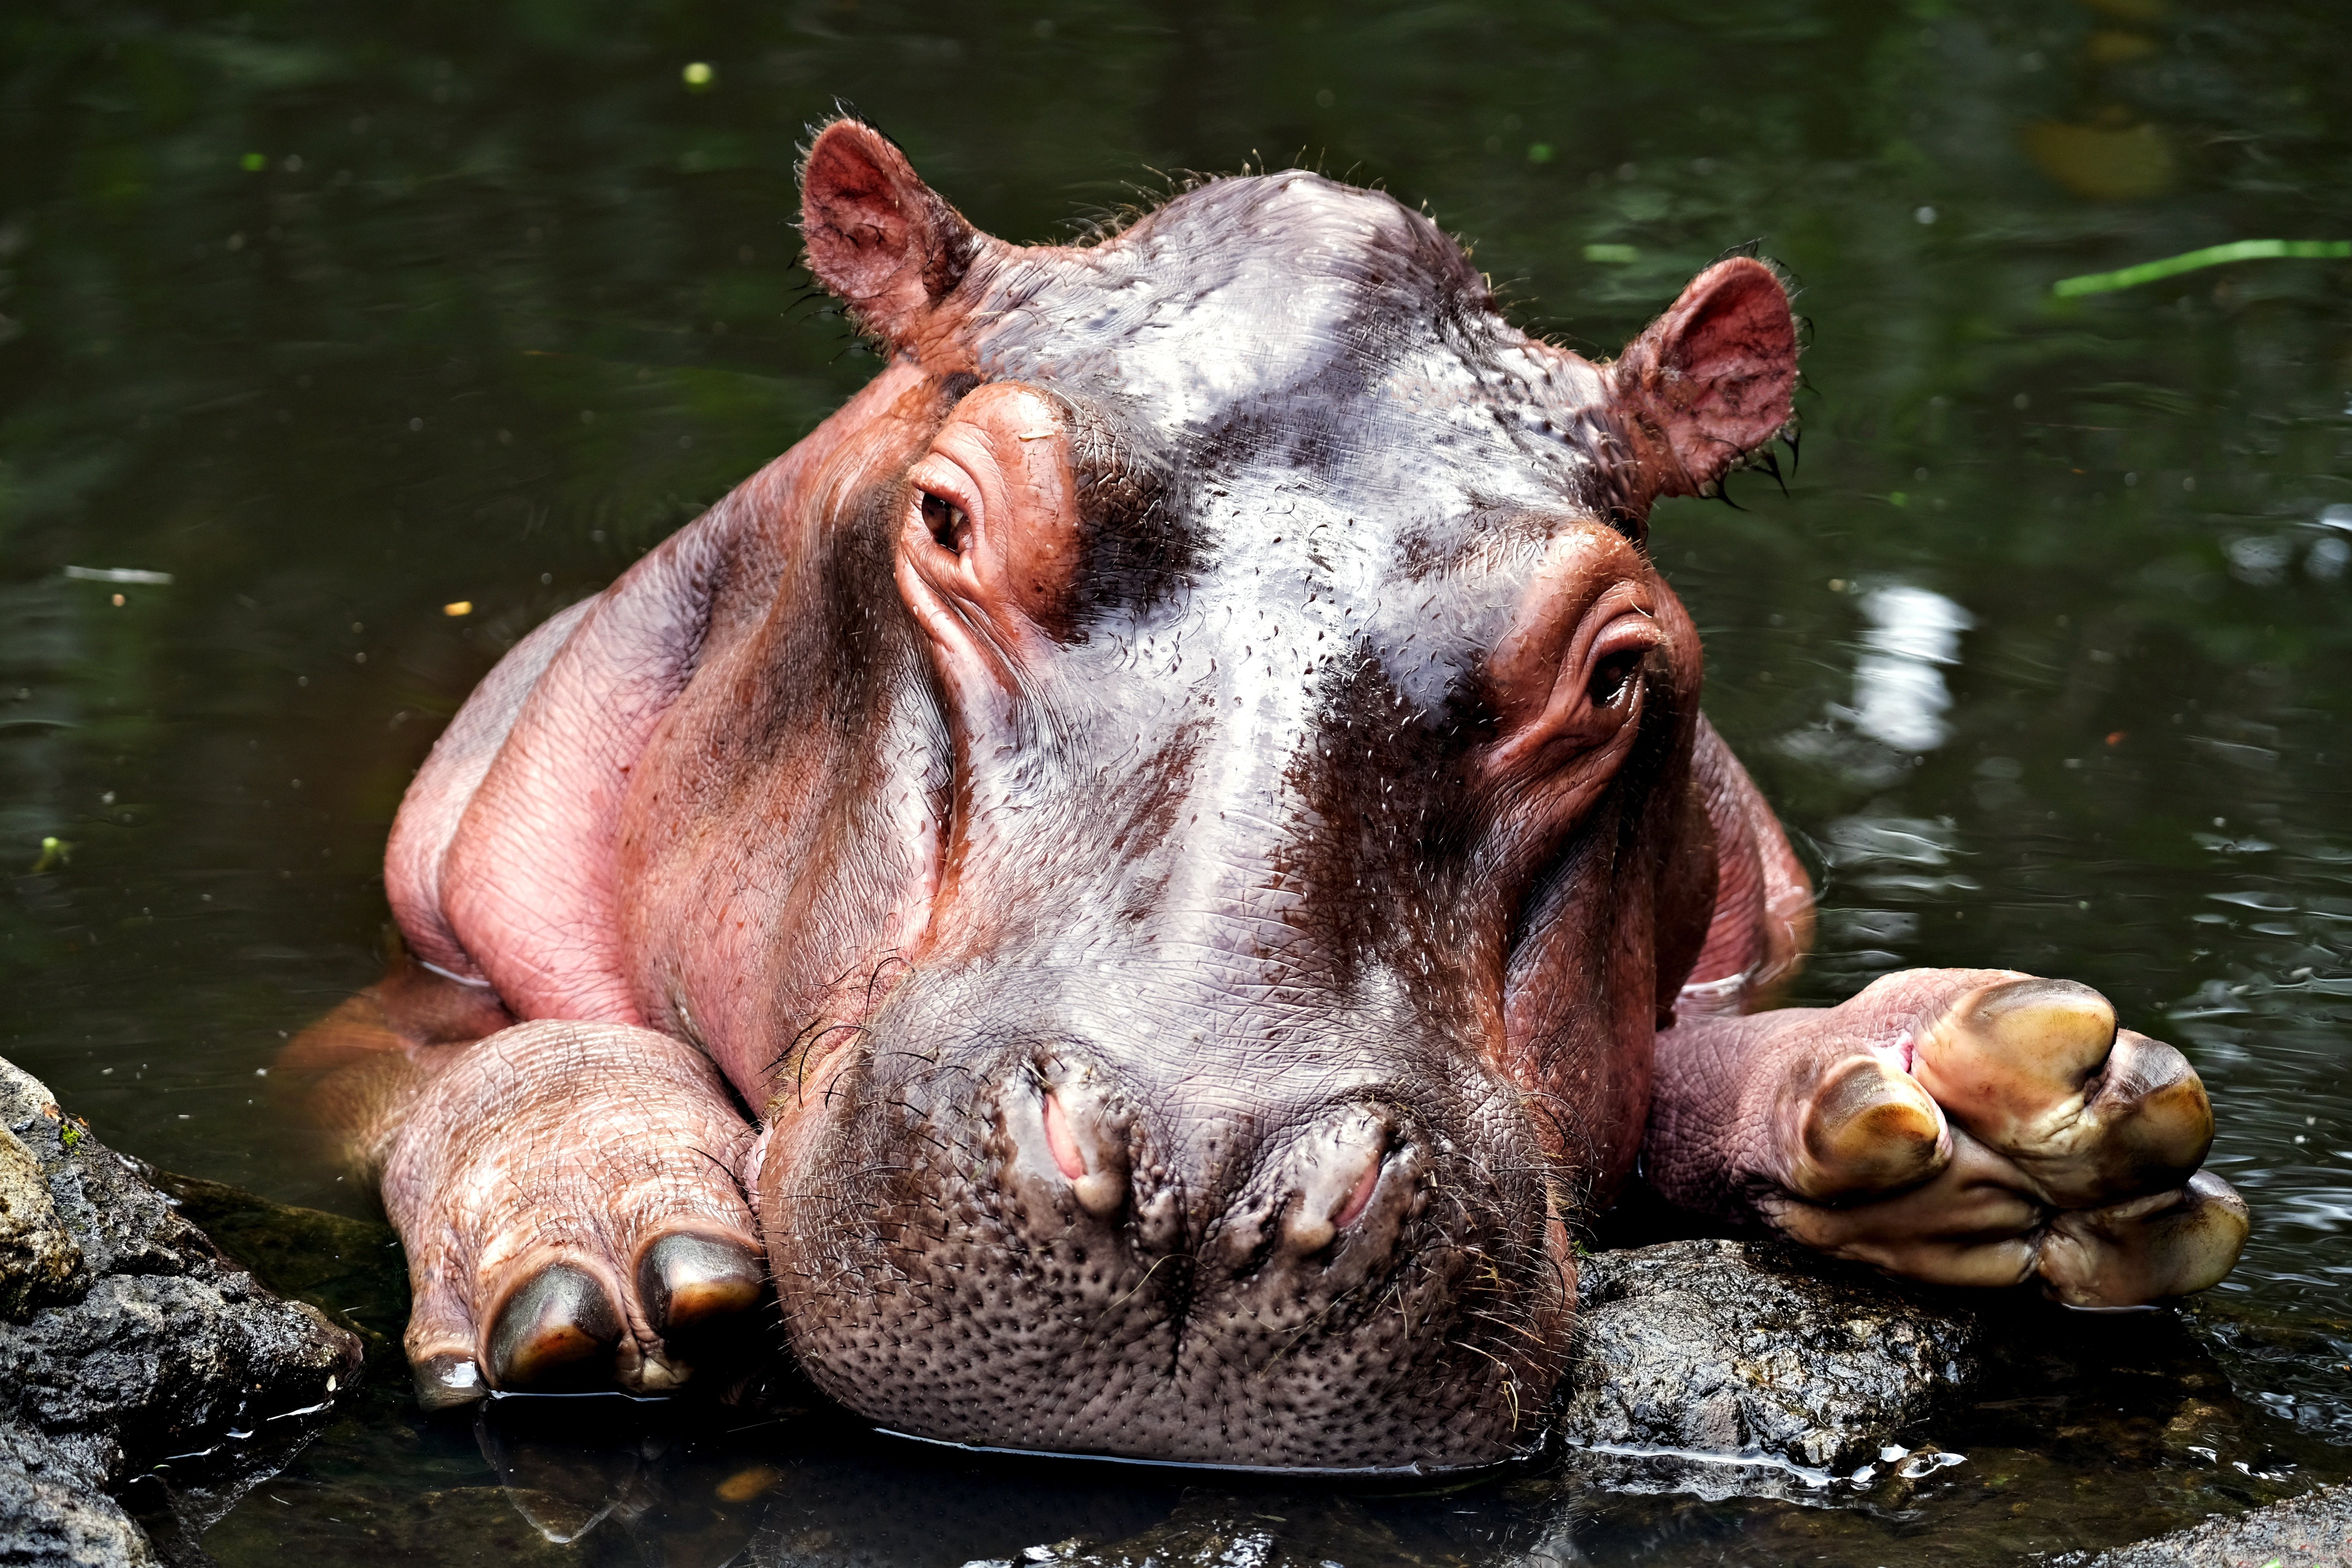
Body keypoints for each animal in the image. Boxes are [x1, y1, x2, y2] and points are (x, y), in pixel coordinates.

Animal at [295, 119, 2248, 1472]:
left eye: (1616, 667)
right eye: (947, 516)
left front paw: (1998, 1113)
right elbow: (488, 1054)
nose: (1205, 1181)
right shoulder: (390, 995)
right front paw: (604, 1248)